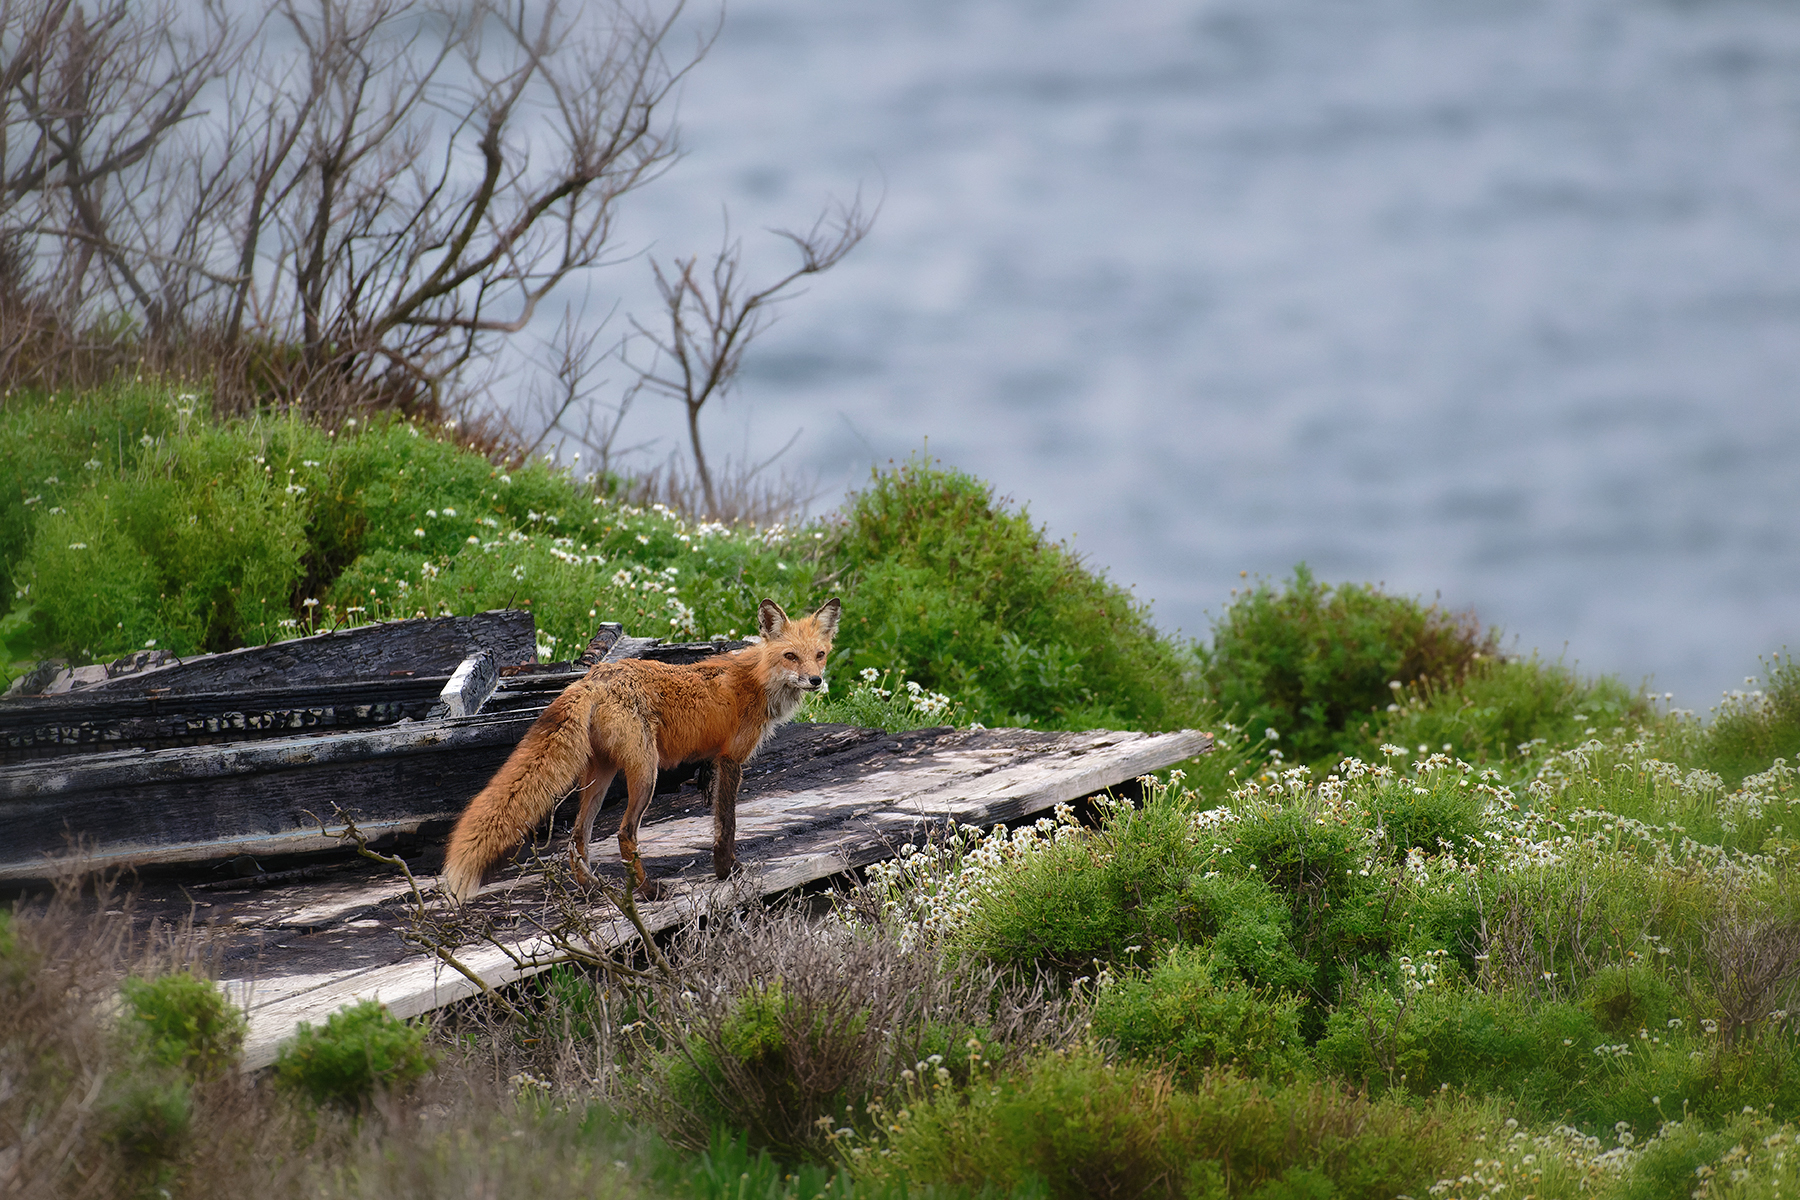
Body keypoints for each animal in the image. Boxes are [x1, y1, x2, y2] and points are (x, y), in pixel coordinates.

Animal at [440, 597, 840, 903]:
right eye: (790, 656)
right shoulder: (731, 759)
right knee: (624, 834)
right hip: (646, 774)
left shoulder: (714, 762)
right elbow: (727, 825)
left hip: (600, 776)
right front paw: (727, 871)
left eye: (820, 655)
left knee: (576, 840)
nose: (816, 680)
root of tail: (593, 678)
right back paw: (648, 892)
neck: (758, 680)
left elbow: (717, 821)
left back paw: (596, 891)